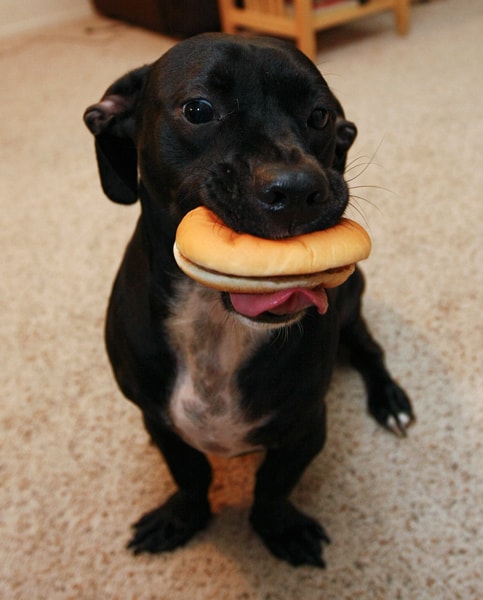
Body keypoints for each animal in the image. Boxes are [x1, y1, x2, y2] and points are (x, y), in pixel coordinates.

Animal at [85, 32, 414, 568]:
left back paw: (390, 401)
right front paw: (182, 516)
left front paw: (278, 529)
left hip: (351, 306)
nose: (298, 189)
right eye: (198, 109)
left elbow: (272, 487)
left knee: (370, 351)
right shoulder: (158, 423)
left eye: (320, 116)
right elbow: (191, 475)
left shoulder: (306, 429)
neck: (215, 323)